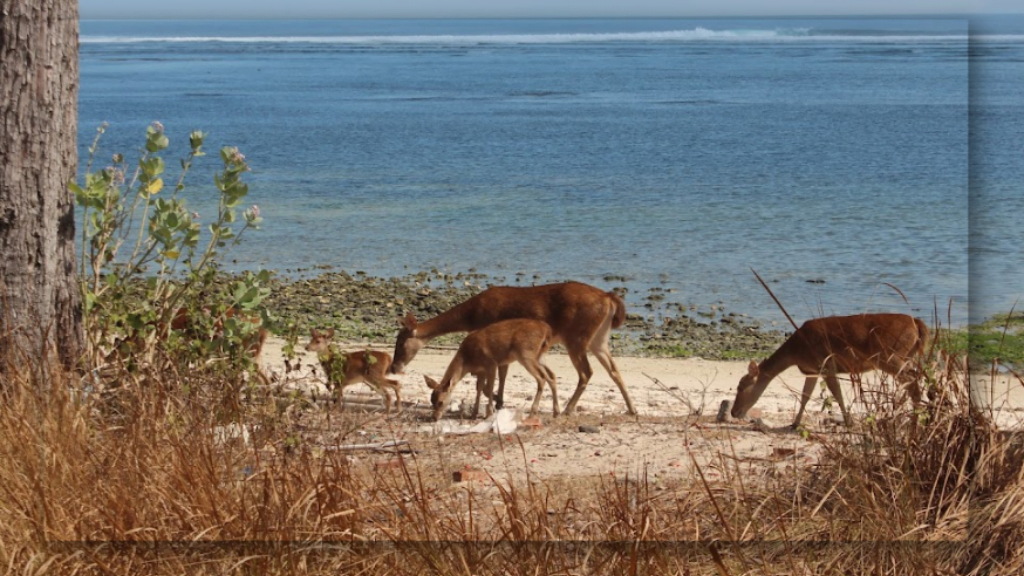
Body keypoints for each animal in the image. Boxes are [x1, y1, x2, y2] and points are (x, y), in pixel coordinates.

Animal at [423, 315, 561, 420]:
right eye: (431, 401)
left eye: (440, 402)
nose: (434, 418)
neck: (467, 360)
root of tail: (547, 330)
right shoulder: (480, 370)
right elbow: (479, 388)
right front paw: (475, 413)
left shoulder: (491, 363)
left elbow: (488, 388)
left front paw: (489, 412)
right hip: (540, 355)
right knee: (552, 376)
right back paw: (556, 412)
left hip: (526, 353)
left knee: (541, 378)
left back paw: (533, 412)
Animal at [729, 313, 929, 426]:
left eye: (741, 386)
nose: (733, 412)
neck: (796, 352)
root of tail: (917, 324)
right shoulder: (812, 370)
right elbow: (805, 395)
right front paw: (795, 423)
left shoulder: (826, 365)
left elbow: (837, 394)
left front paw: (848, 422)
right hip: (906, 355)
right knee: (914, 379)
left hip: (890, 355)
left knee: (913, 380)